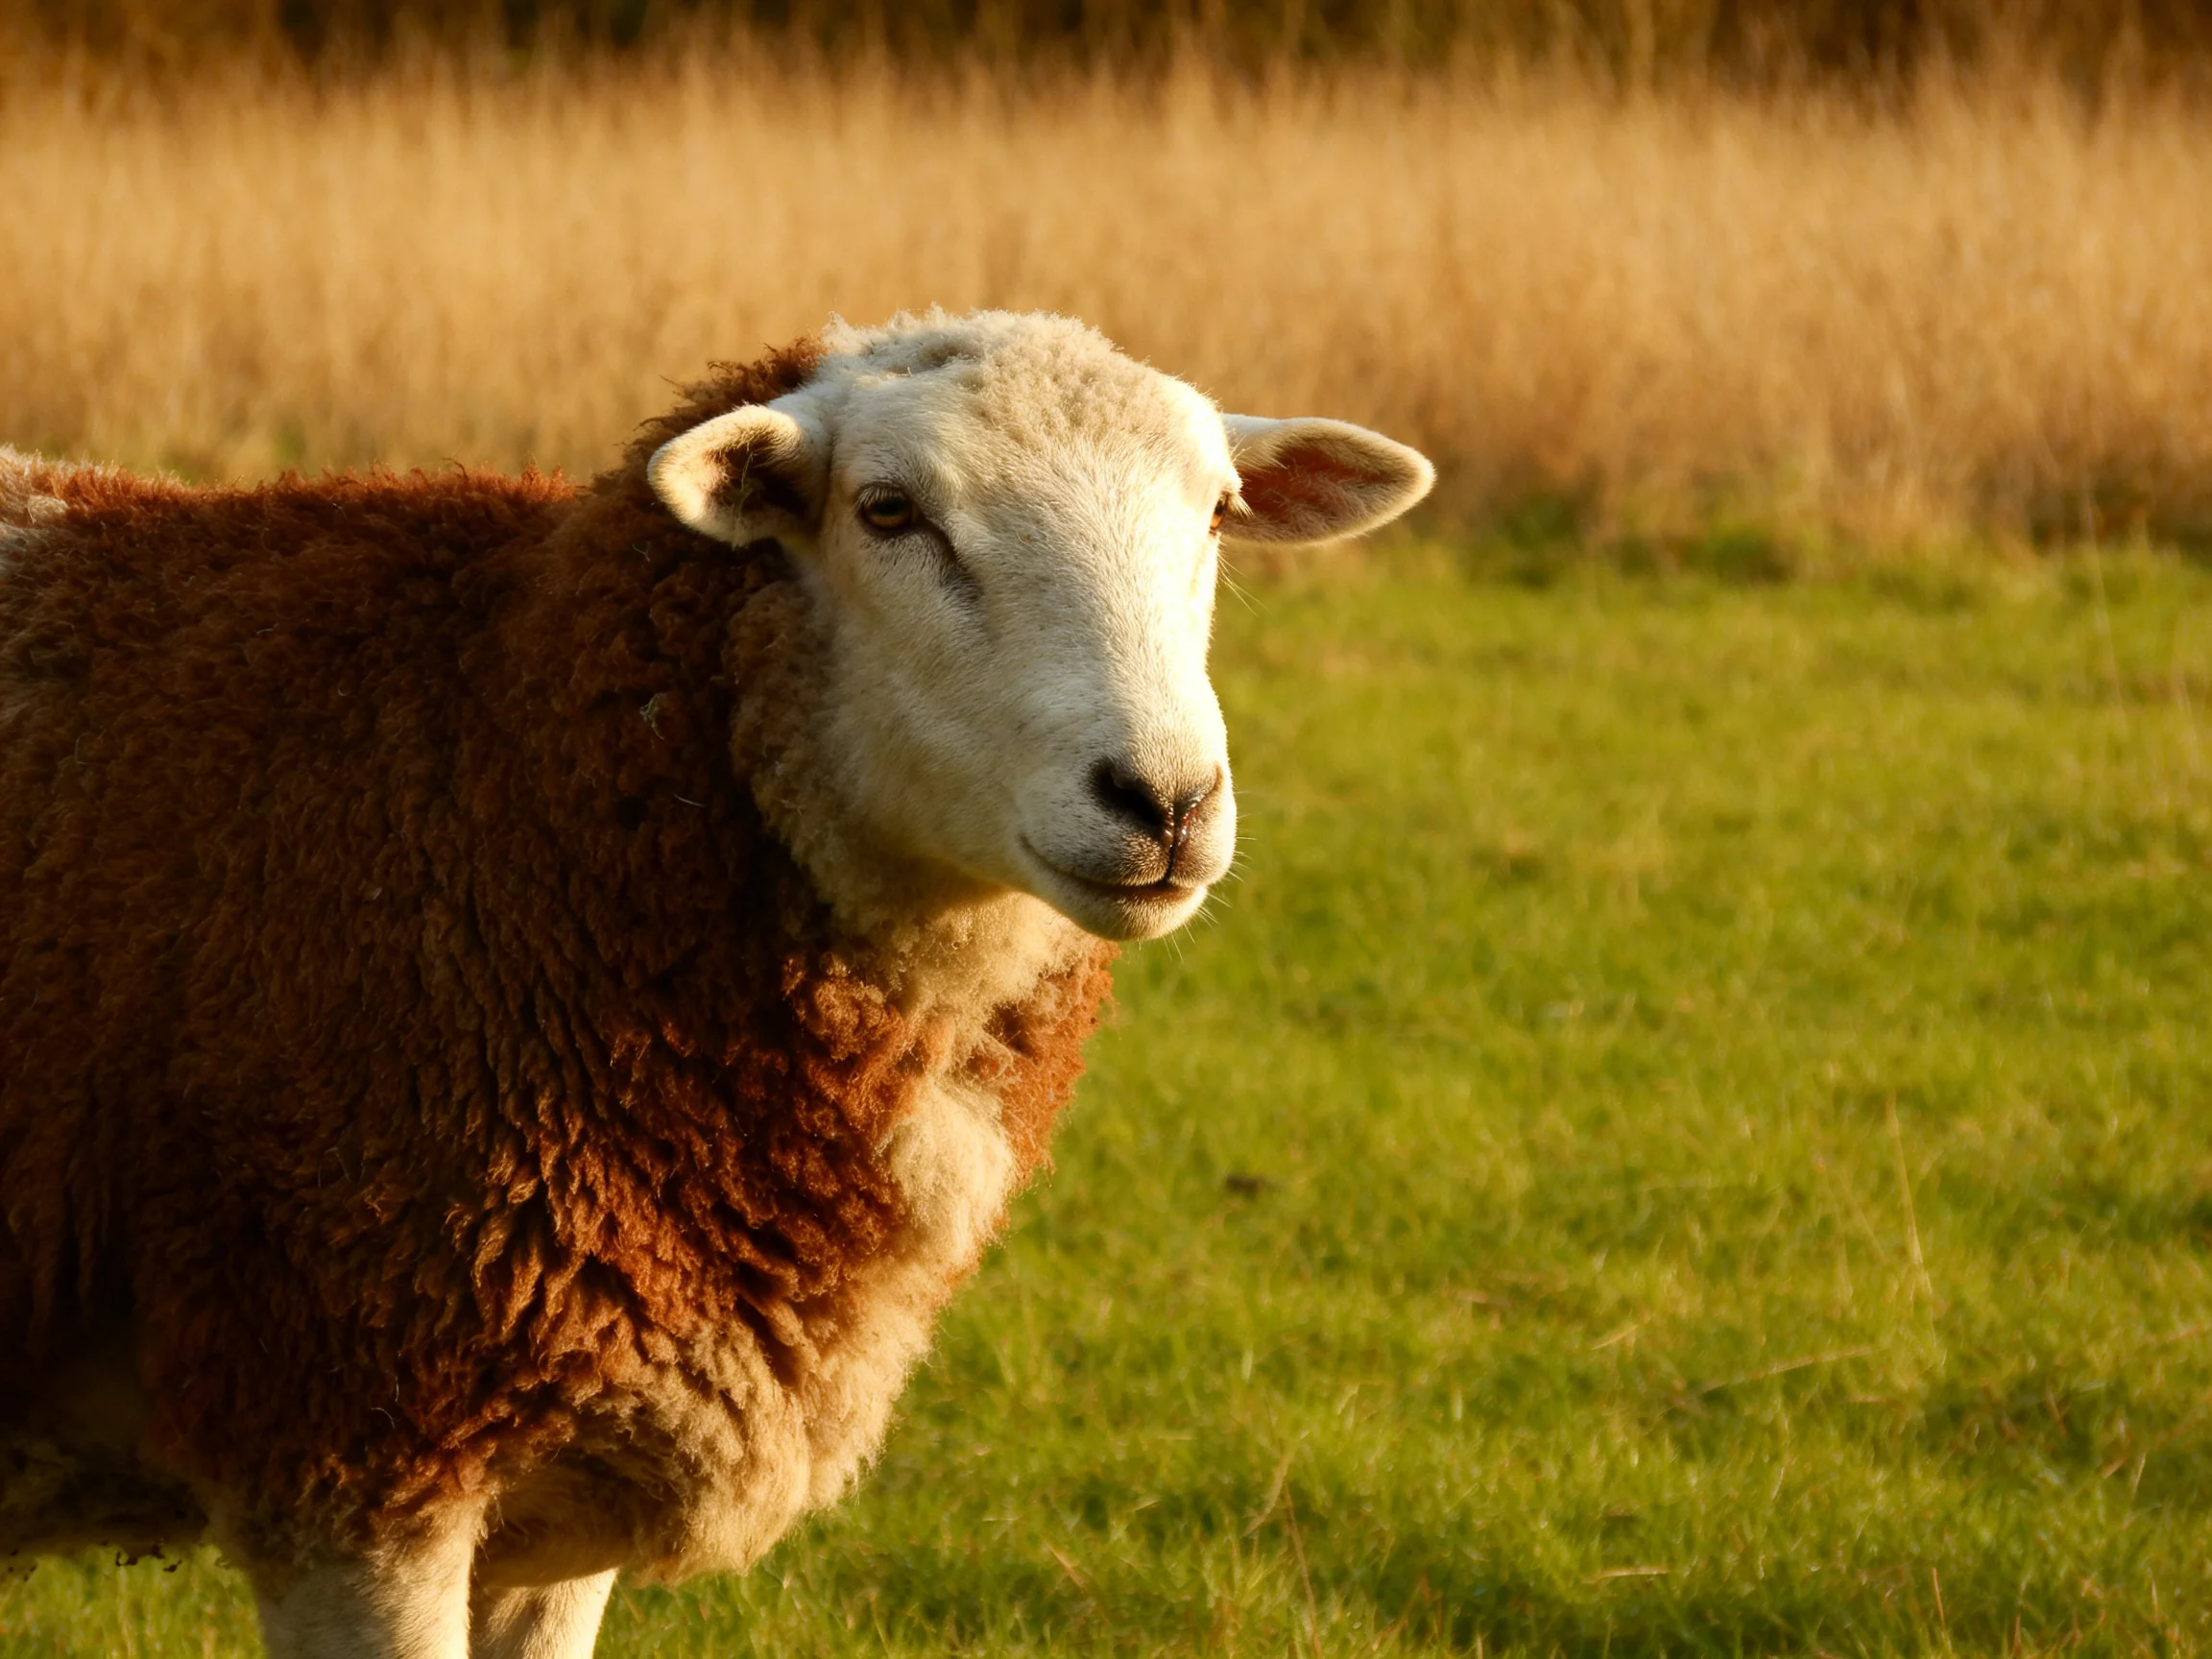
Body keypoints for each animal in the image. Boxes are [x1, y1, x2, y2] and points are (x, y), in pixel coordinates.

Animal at [0, 309, 1433, 1658]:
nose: (1166, 802)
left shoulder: (566, 1492)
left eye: (1219, 512)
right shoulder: (349, 1445)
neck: (505, 785)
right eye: (887, 510)